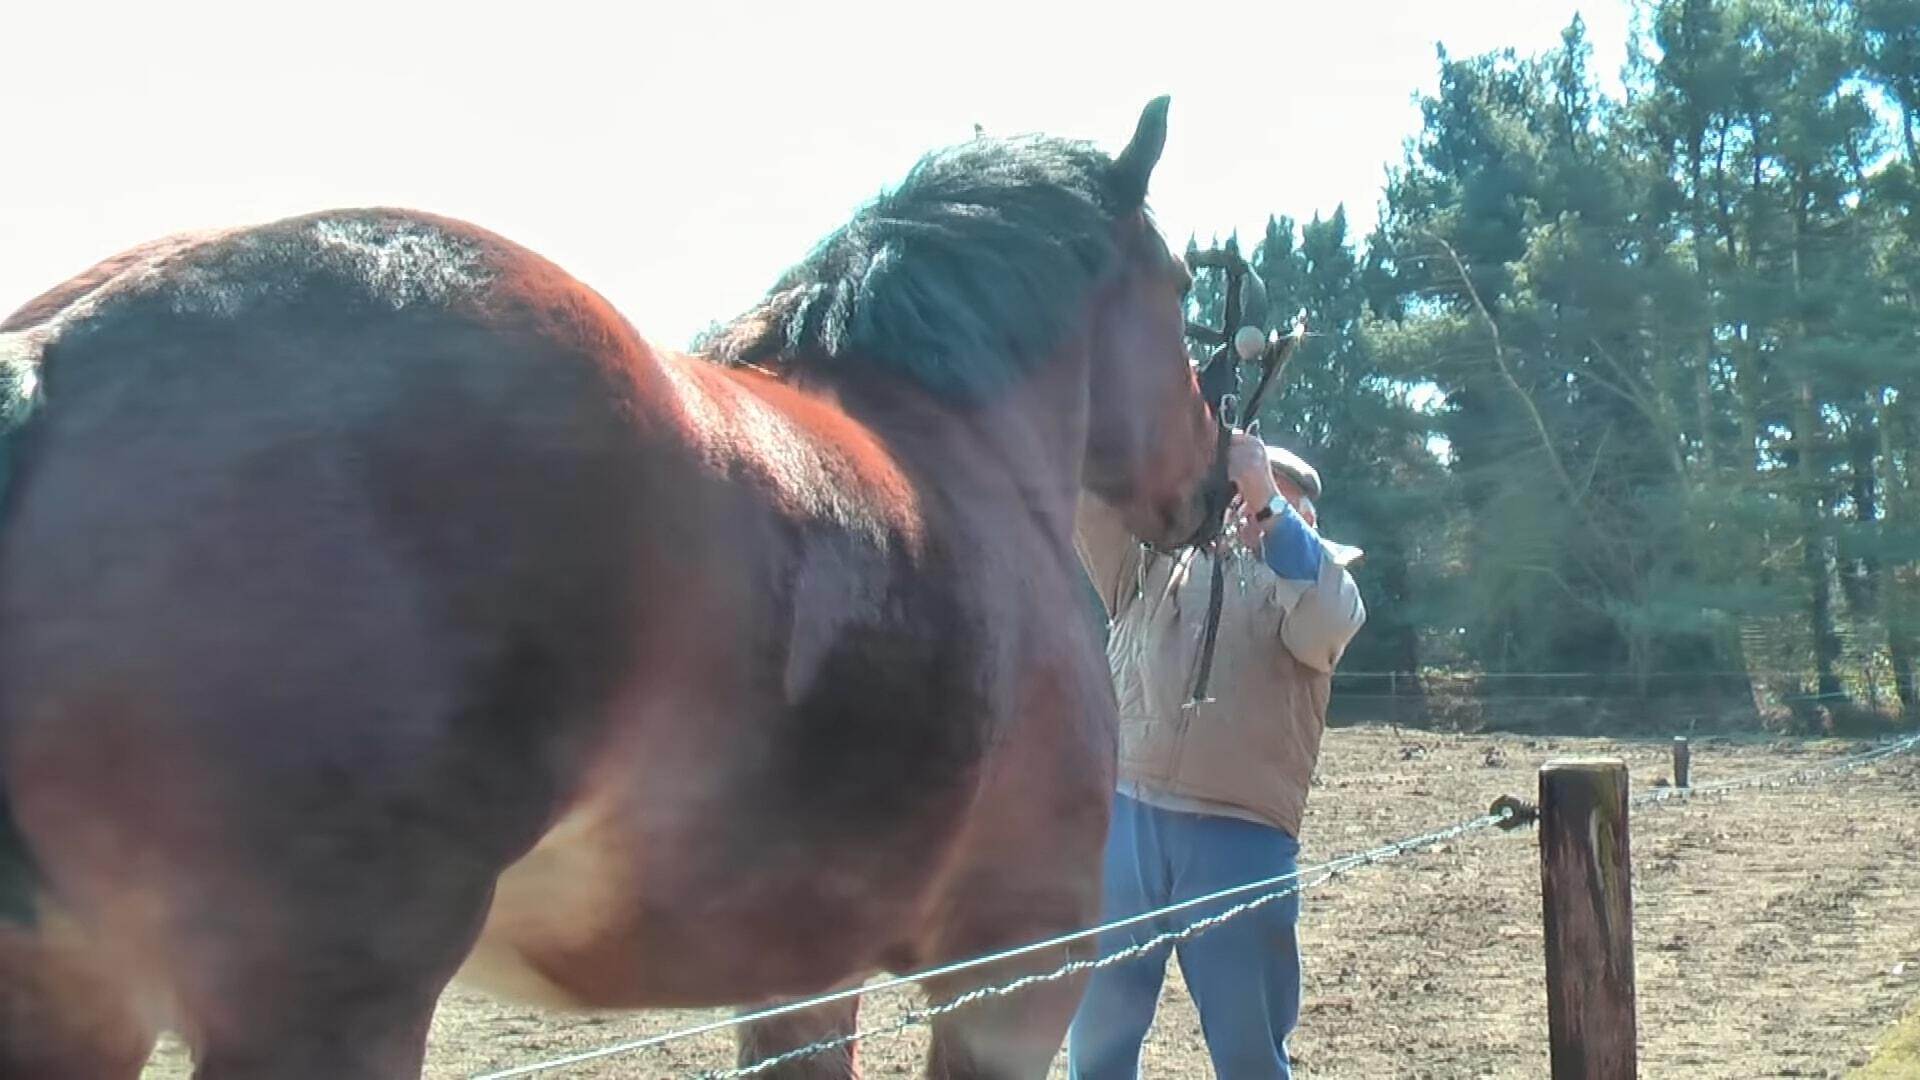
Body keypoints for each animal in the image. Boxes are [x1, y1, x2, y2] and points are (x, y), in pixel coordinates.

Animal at [0, 96, 1221, 1068]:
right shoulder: (1014, 970)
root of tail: (65, 350)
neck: (960, 440)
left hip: (78, 1002)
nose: (1215, 483)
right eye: (1180, 286)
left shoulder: (801, 975)